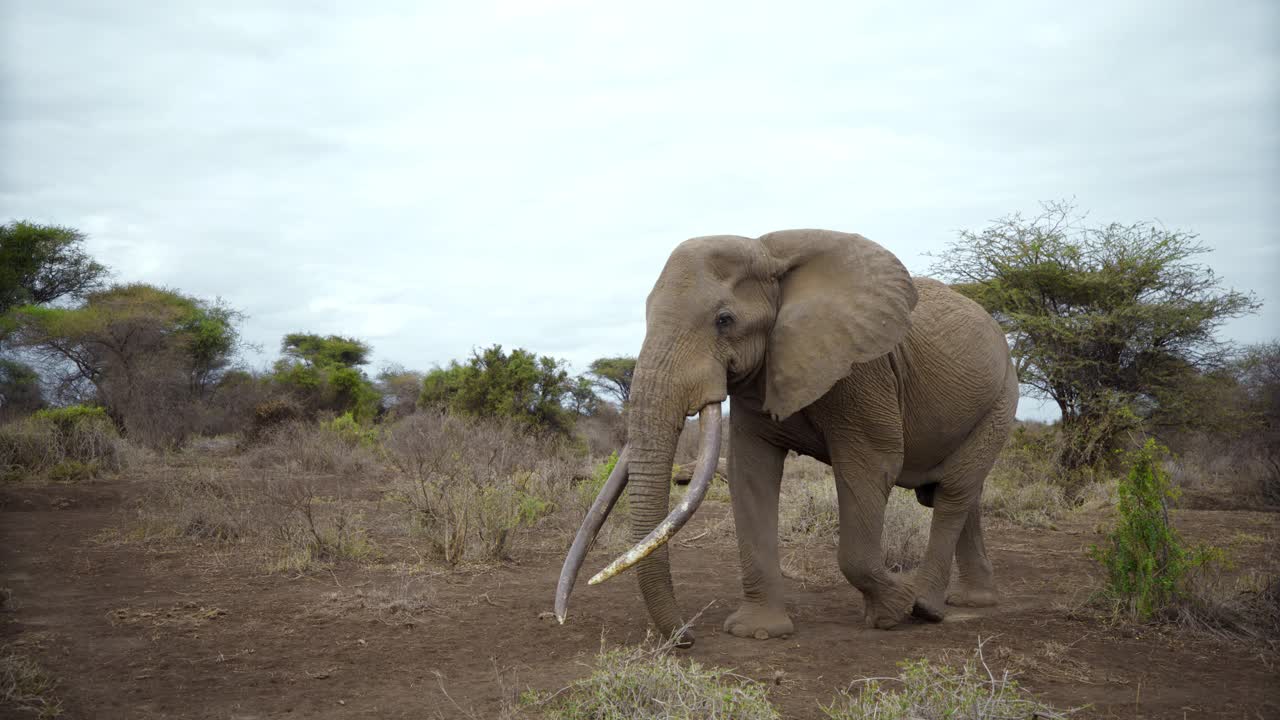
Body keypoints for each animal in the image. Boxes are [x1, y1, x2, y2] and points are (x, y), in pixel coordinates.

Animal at [555, 229, 1013, 645]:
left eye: (724, 320)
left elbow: (872, 466)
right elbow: (750, 472)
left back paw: (927, 608)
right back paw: (971, 601)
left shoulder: (863, 371)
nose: (686, 637)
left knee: (953, 493)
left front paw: (891, 612)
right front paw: (758, 632)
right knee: (955, 494)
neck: (769, 253)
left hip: (1001, 399)